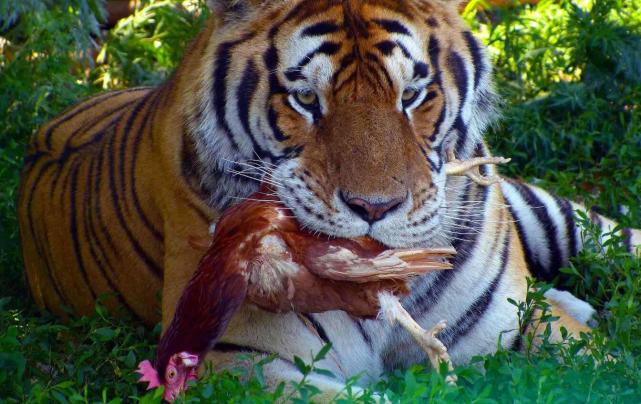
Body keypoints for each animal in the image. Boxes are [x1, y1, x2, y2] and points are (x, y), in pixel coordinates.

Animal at [17, 0, 636, 398]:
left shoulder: (512, 325)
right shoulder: (235, 356)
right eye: (305, 100)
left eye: (412, 95)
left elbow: (597, 362)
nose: (374, 209)